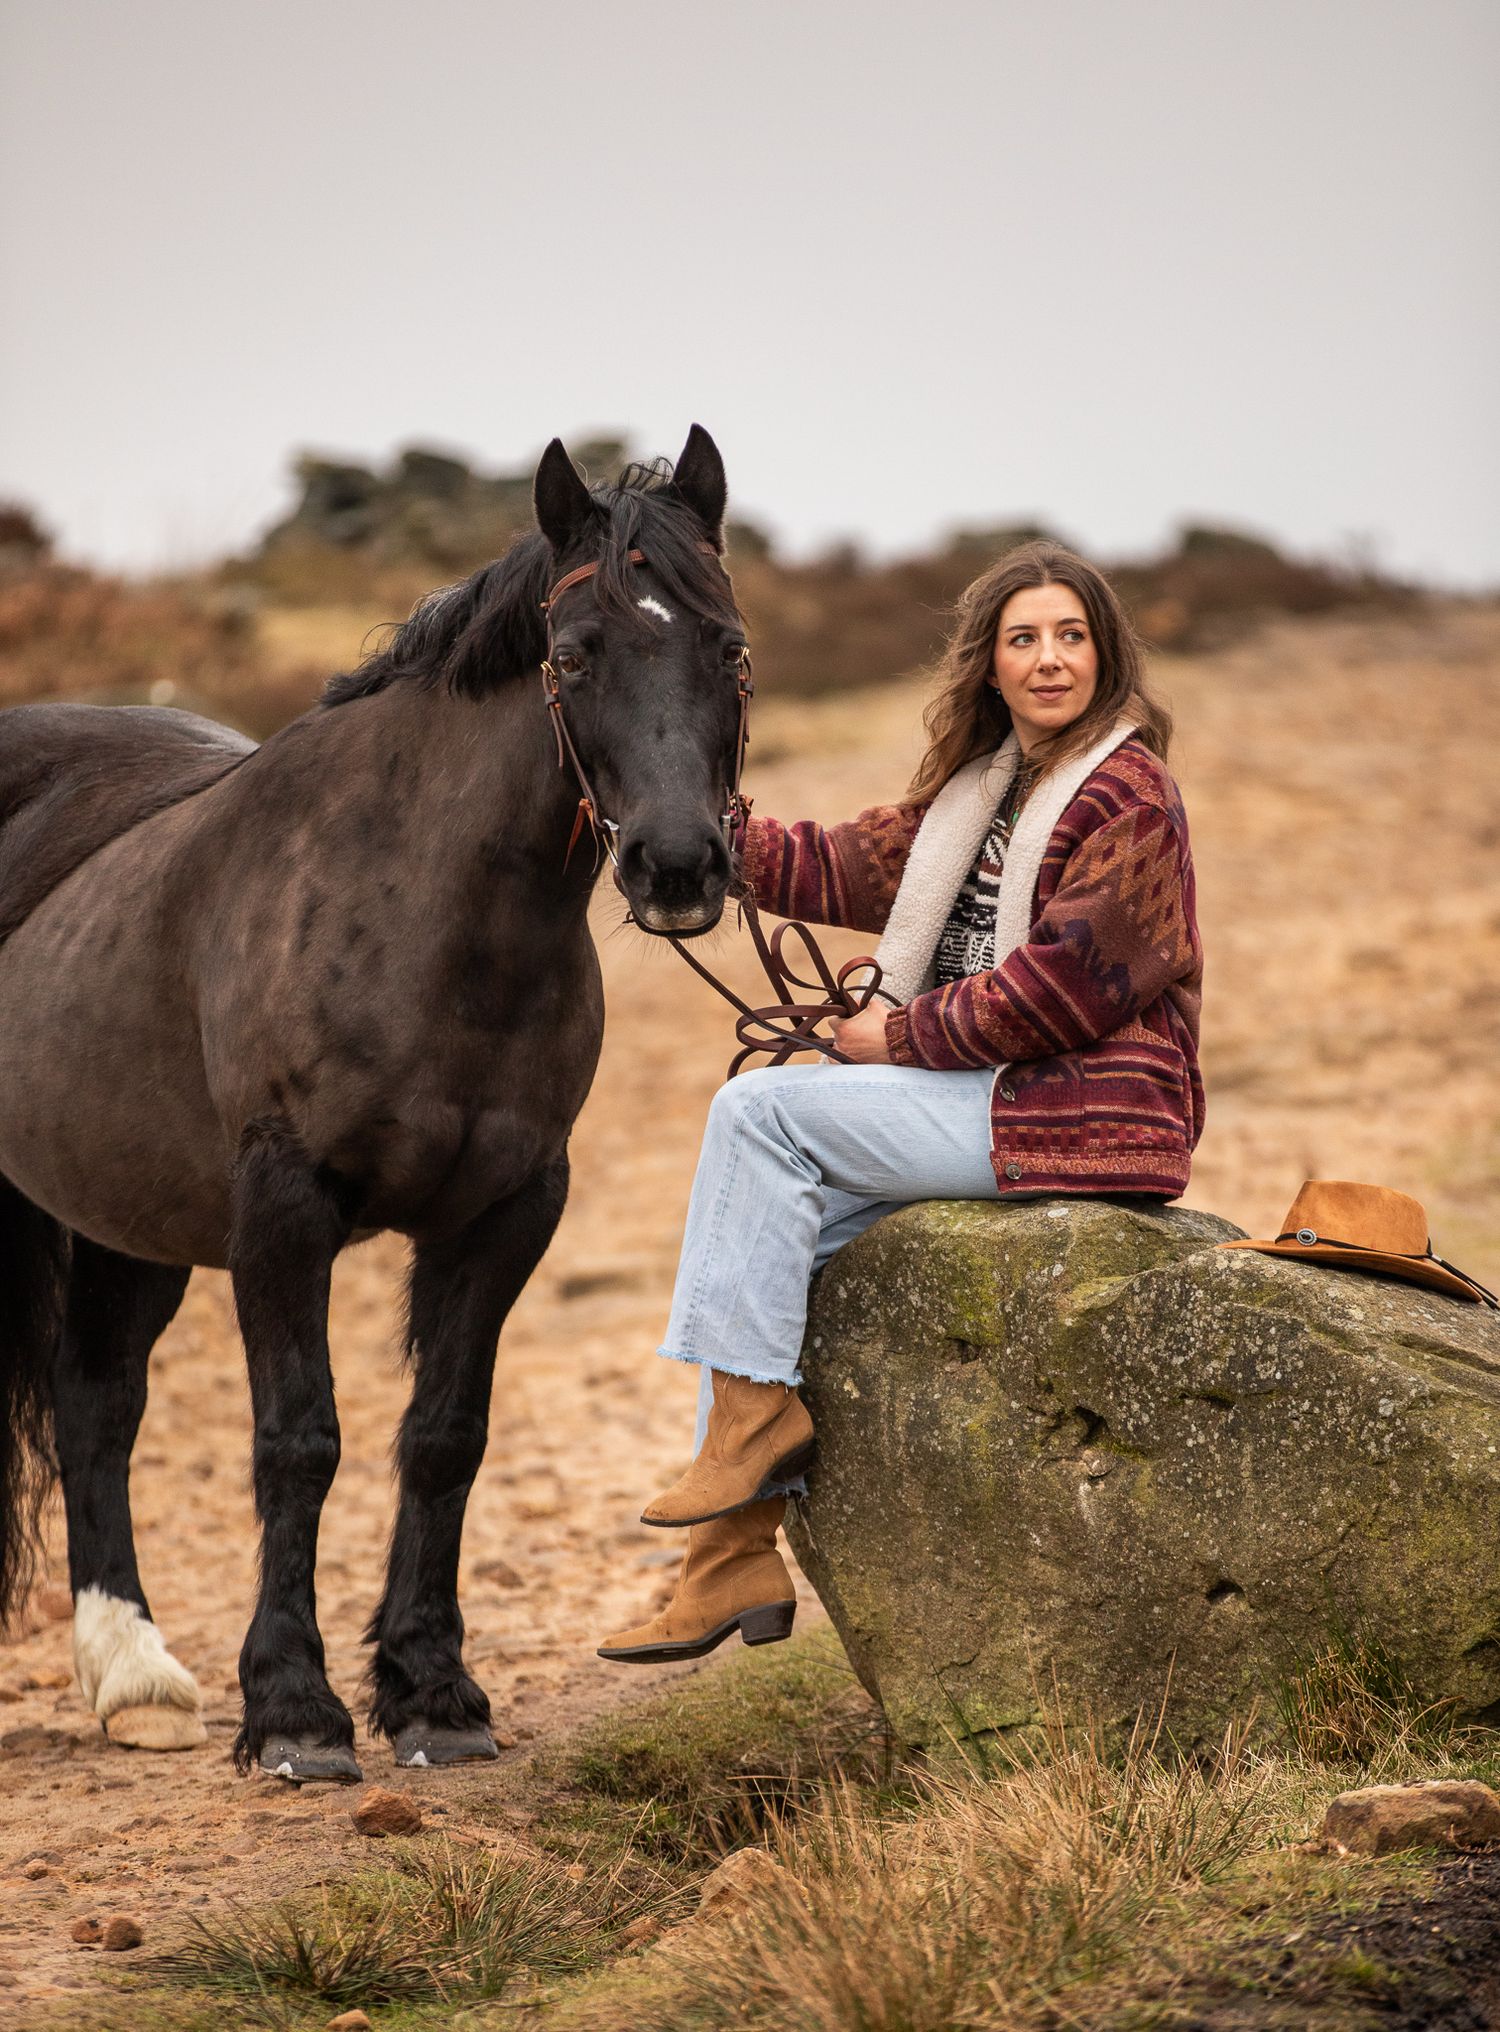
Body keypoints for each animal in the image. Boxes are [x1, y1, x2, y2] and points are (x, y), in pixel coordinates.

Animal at [0, 425, 748, 1781]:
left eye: (728, 647)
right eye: (574, 653)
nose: (675, 865)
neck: (426, 912)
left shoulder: (507, 1209)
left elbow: (444, 1436)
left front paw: (432, 1691)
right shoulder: (284, 1208)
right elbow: (300, 1440)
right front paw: (295, 1710)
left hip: (125, 1213)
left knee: (97, 1404)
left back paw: (135, 1680)